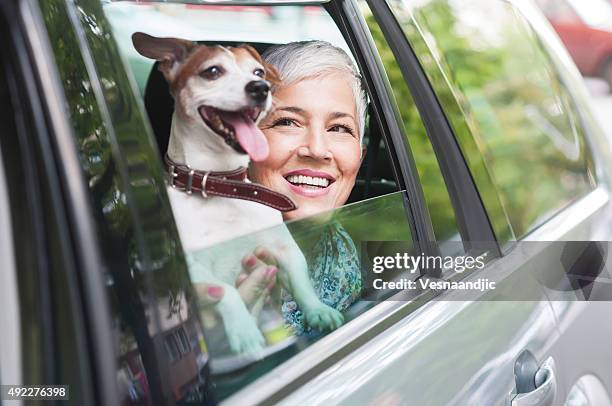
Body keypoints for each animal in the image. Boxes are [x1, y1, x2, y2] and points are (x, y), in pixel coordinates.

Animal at [133, 32, 344, 356]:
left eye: (258, 72)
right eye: (212, 71)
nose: (260, 88)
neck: (221, 187)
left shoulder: (282, 248)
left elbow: (301, 279)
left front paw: (318, 310)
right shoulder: (192, 268)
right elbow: (227, 291)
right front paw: (243, 330)